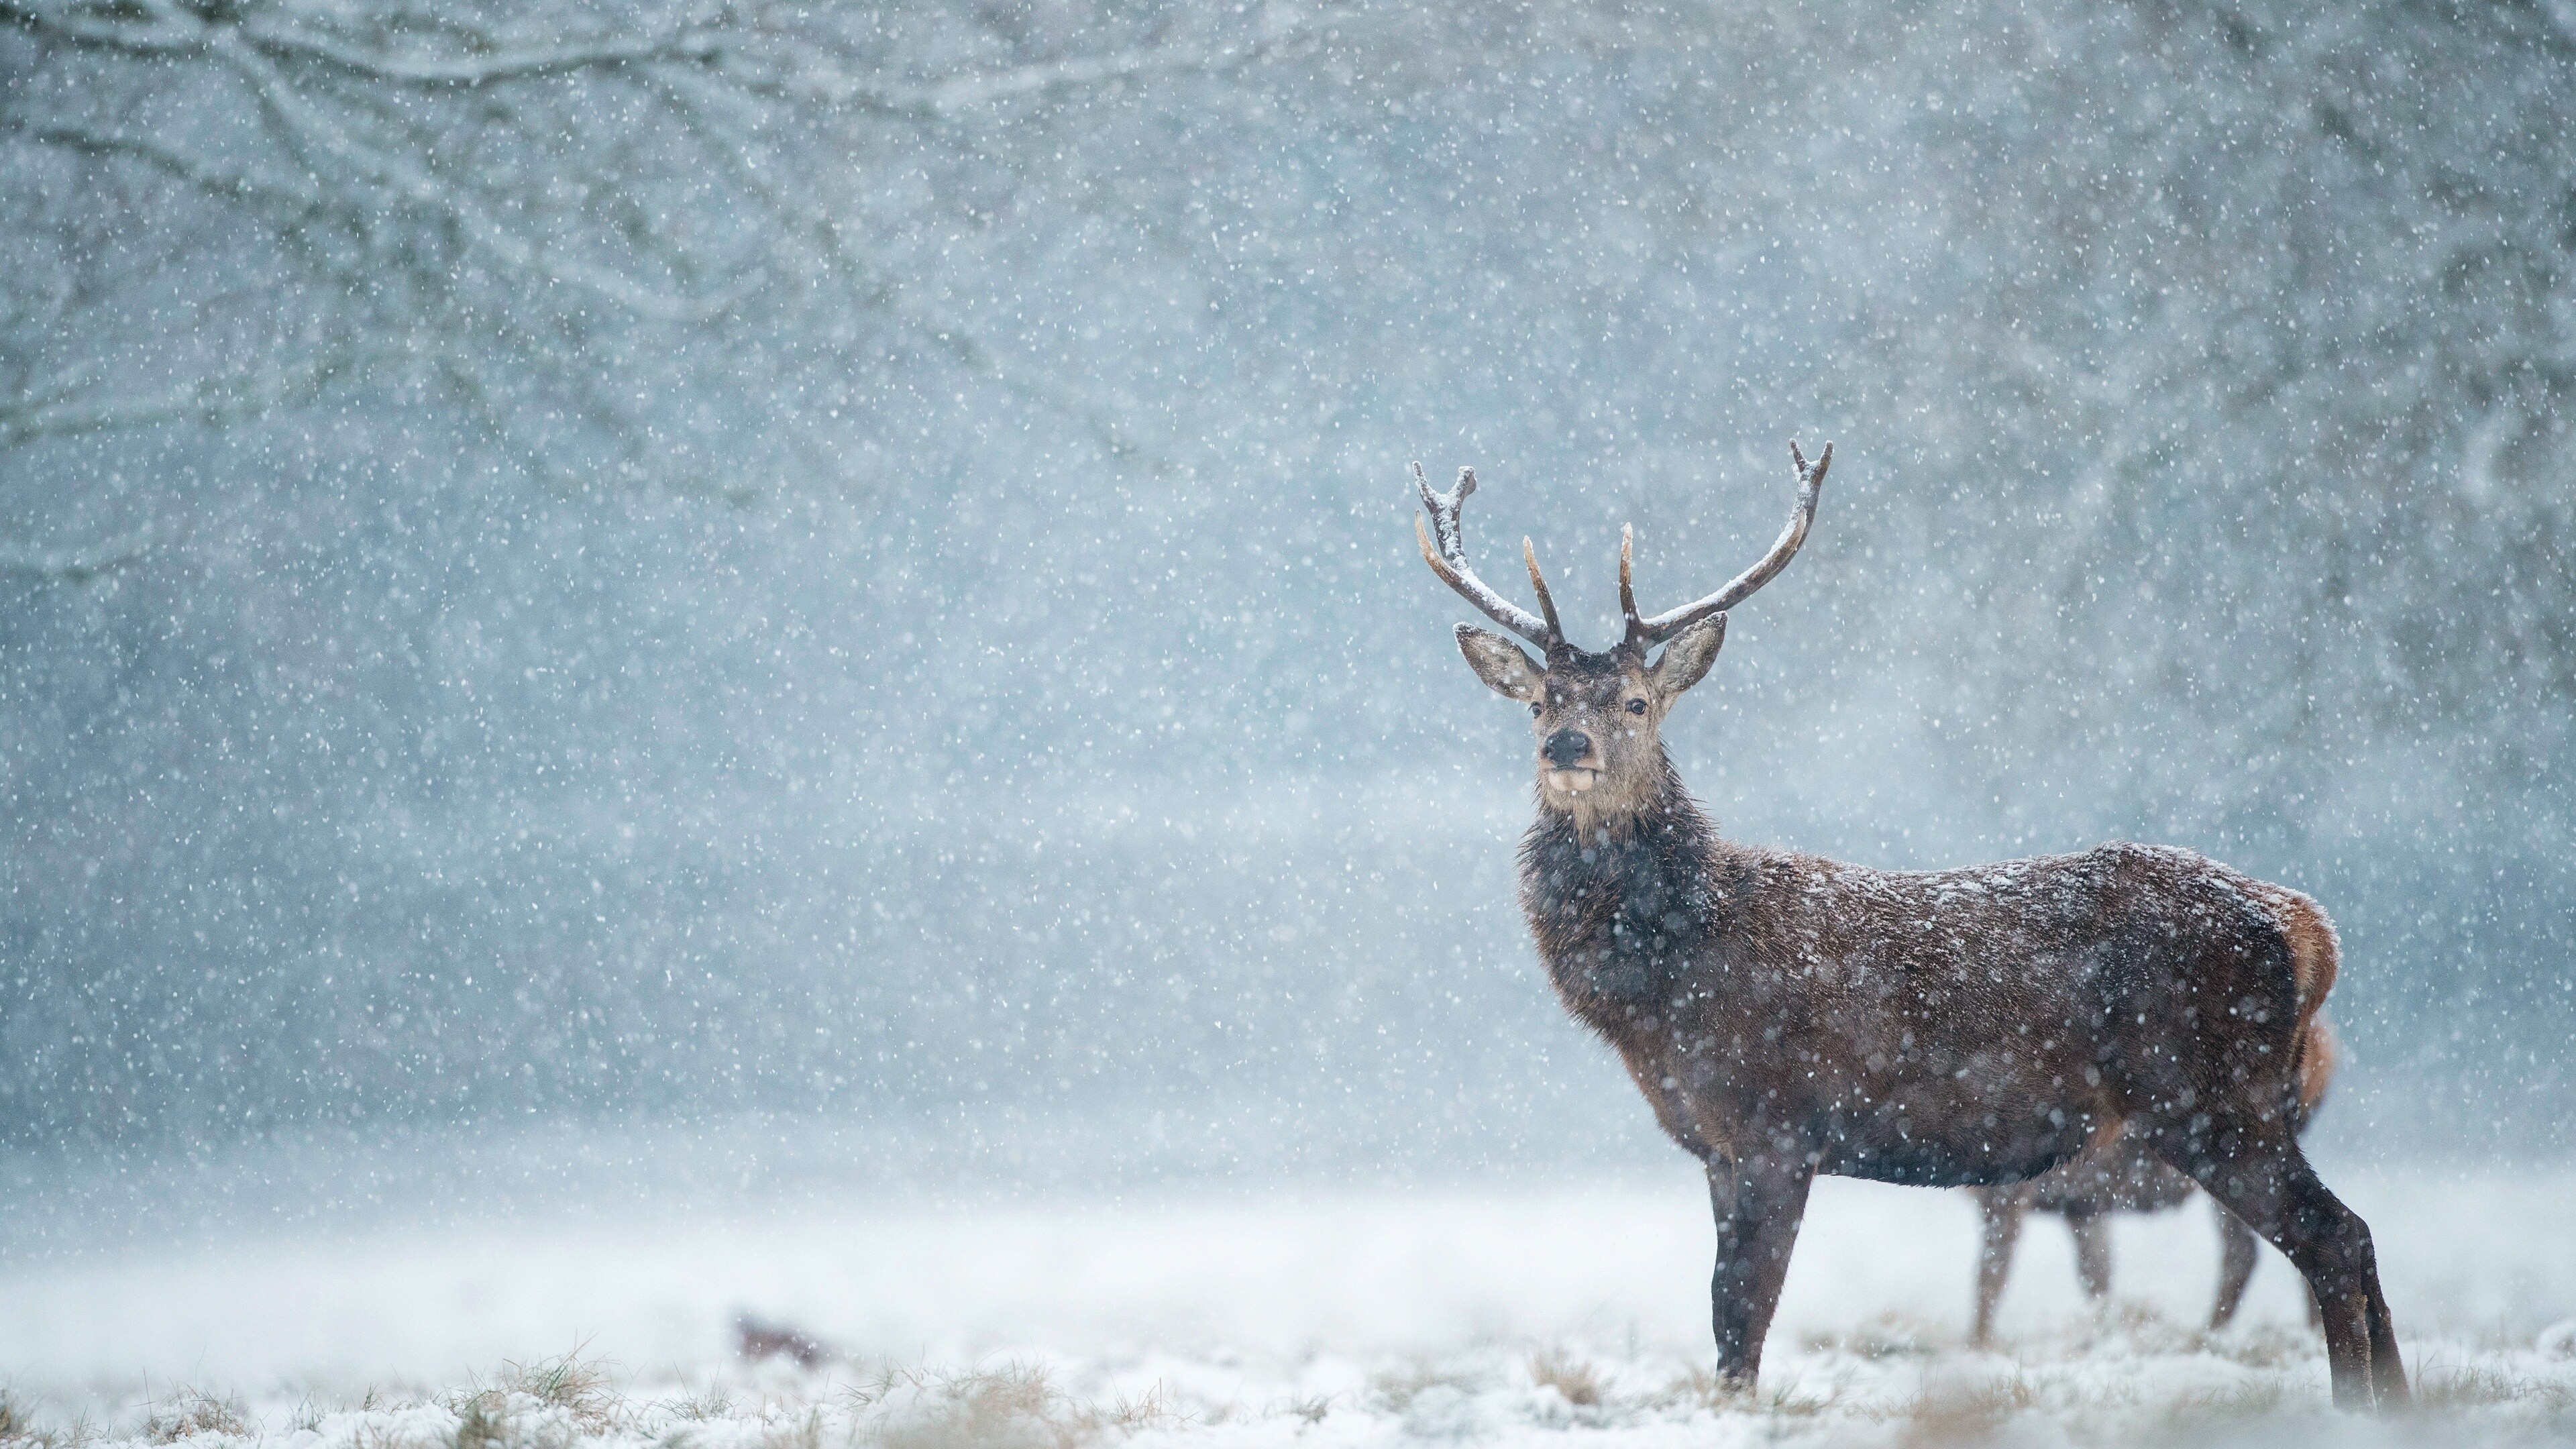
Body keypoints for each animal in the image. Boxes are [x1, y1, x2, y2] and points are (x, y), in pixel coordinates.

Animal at [1968, 1000, 2339, 1340]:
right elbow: (2097, 1276)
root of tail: (2327, 1045)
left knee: (2257, 1247)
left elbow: (1990, 1278)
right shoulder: (2081, 1204)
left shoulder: (2009, 1192)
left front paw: (1980, 1345)